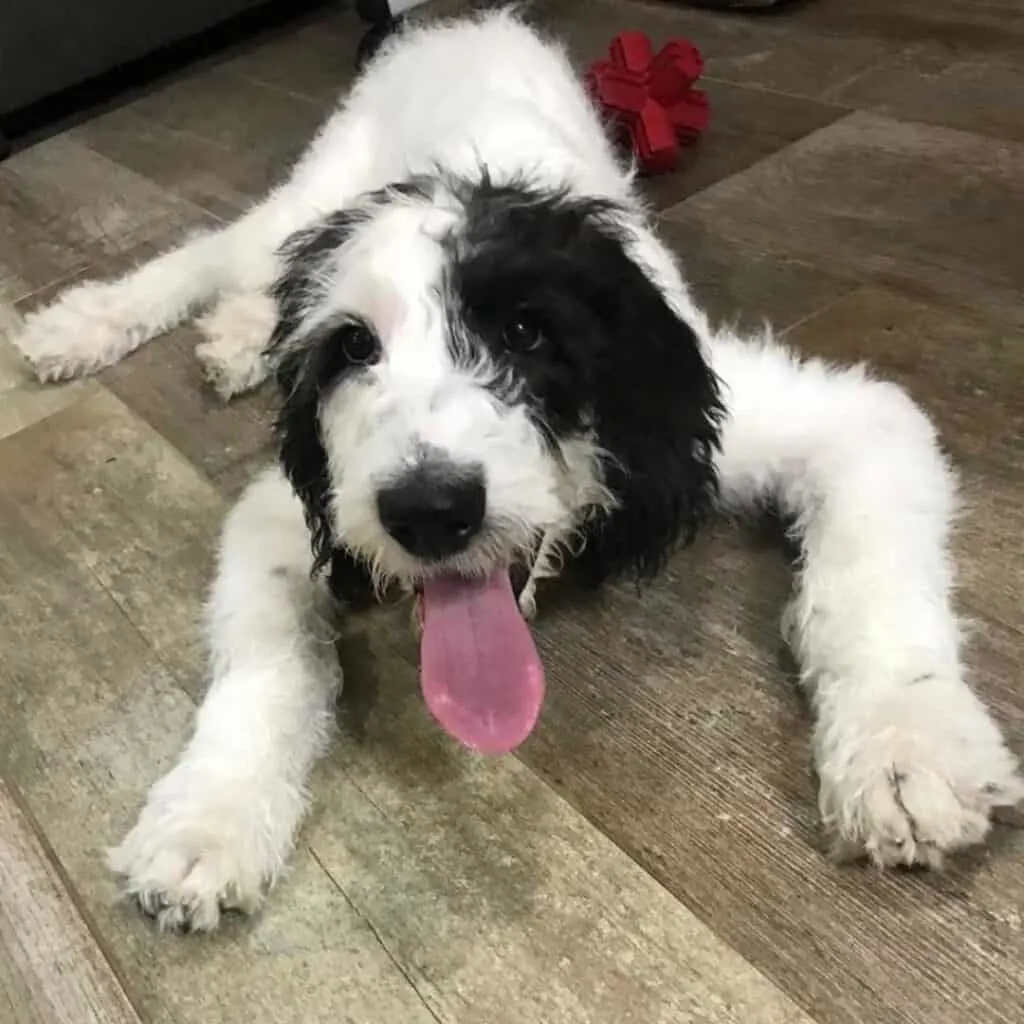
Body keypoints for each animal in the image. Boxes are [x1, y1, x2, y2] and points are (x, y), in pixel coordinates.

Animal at [12, 9, 1019, 937]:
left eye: (528, 332)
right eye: (352, 348)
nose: (429, 510)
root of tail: (456, 20)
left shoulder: (822, 422)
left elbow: (866, 579)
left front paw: (905, 749)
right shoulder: (294, 508)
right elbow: (265, 663)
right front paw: (208, 818)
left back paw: (231, 336)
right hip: (316, 191)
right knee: (214, 250)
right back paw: (89, 326)